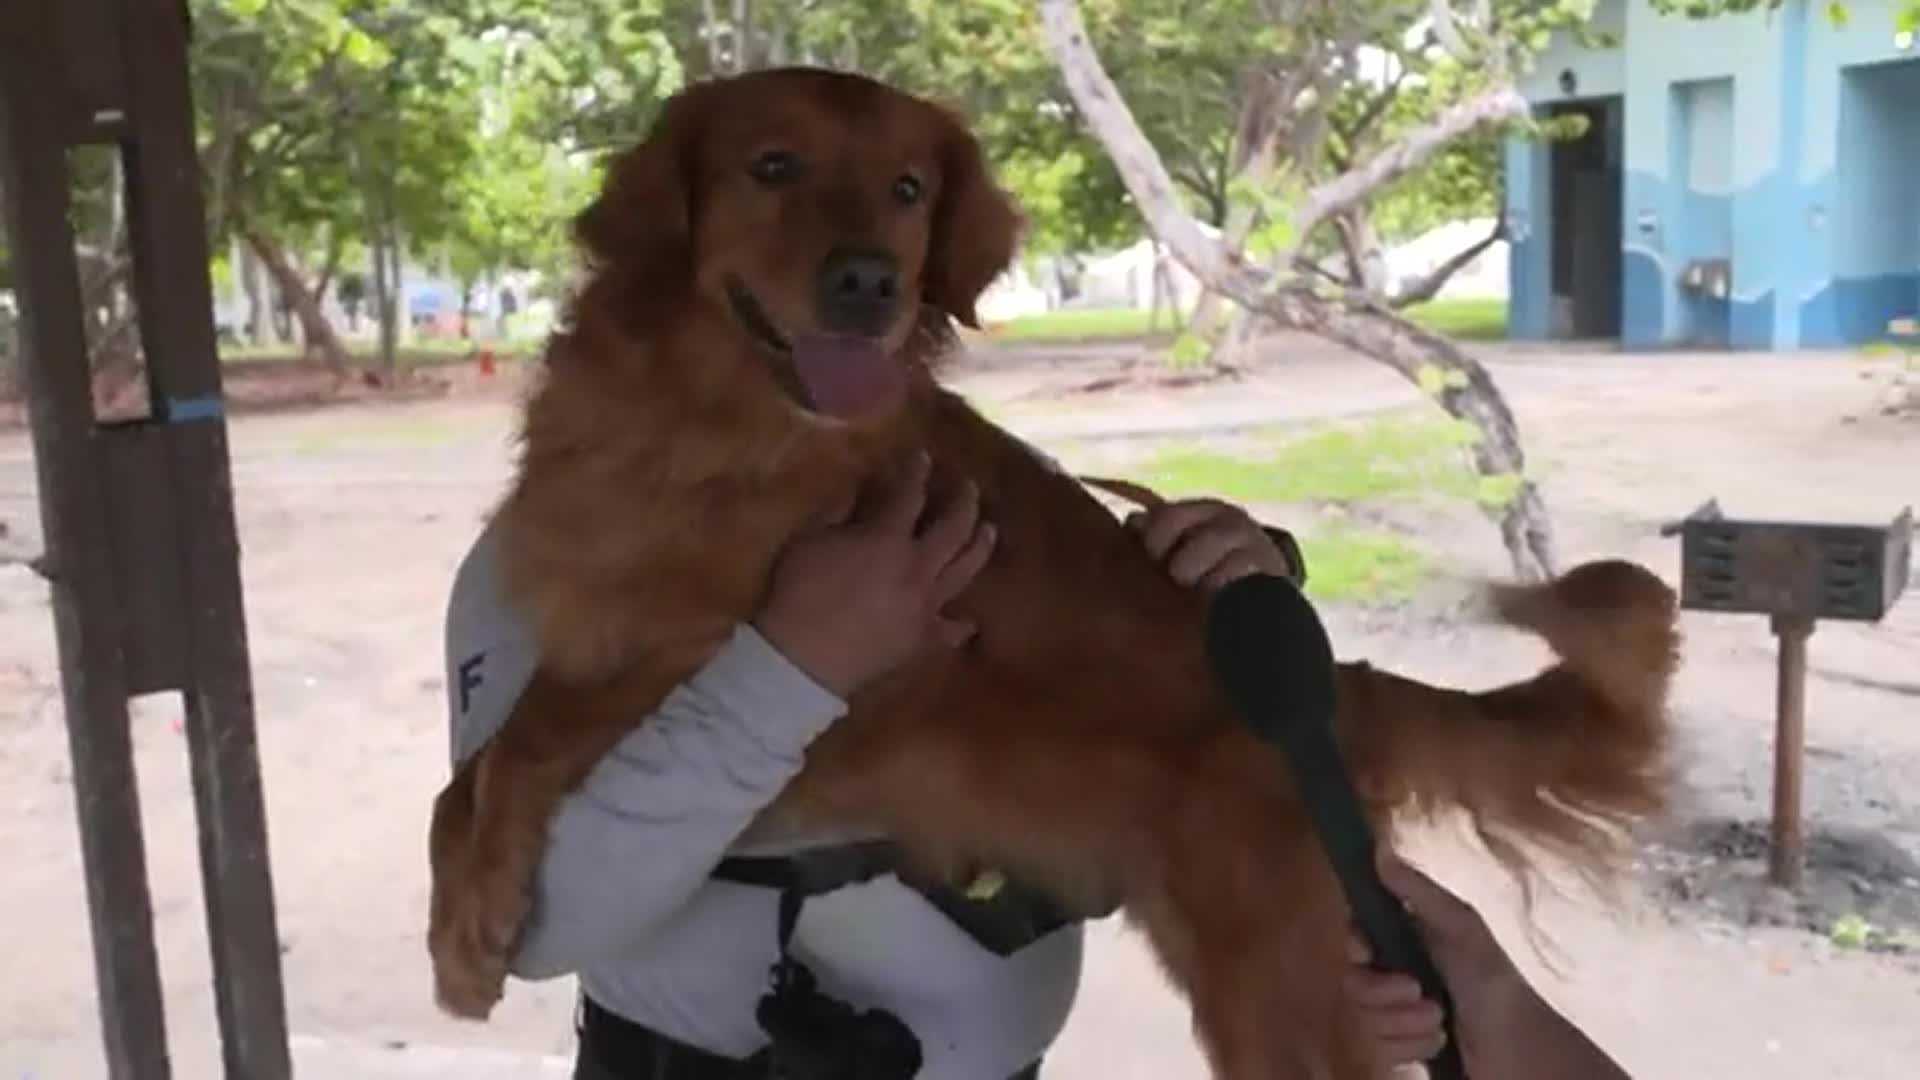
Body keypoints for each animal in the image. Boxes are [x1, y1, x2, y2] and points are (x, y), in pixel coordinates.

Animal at [424, 69, 1681, 1076]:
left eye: (908, 190)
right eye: (772, 167)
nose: (872, 283)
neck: (700, 429)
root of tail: (1338, 687)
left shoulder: (710, 652)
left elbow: (523, 743)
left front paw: (473, 924)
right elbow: (461, 780)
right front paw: (458, 923)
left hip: (1269, 975)